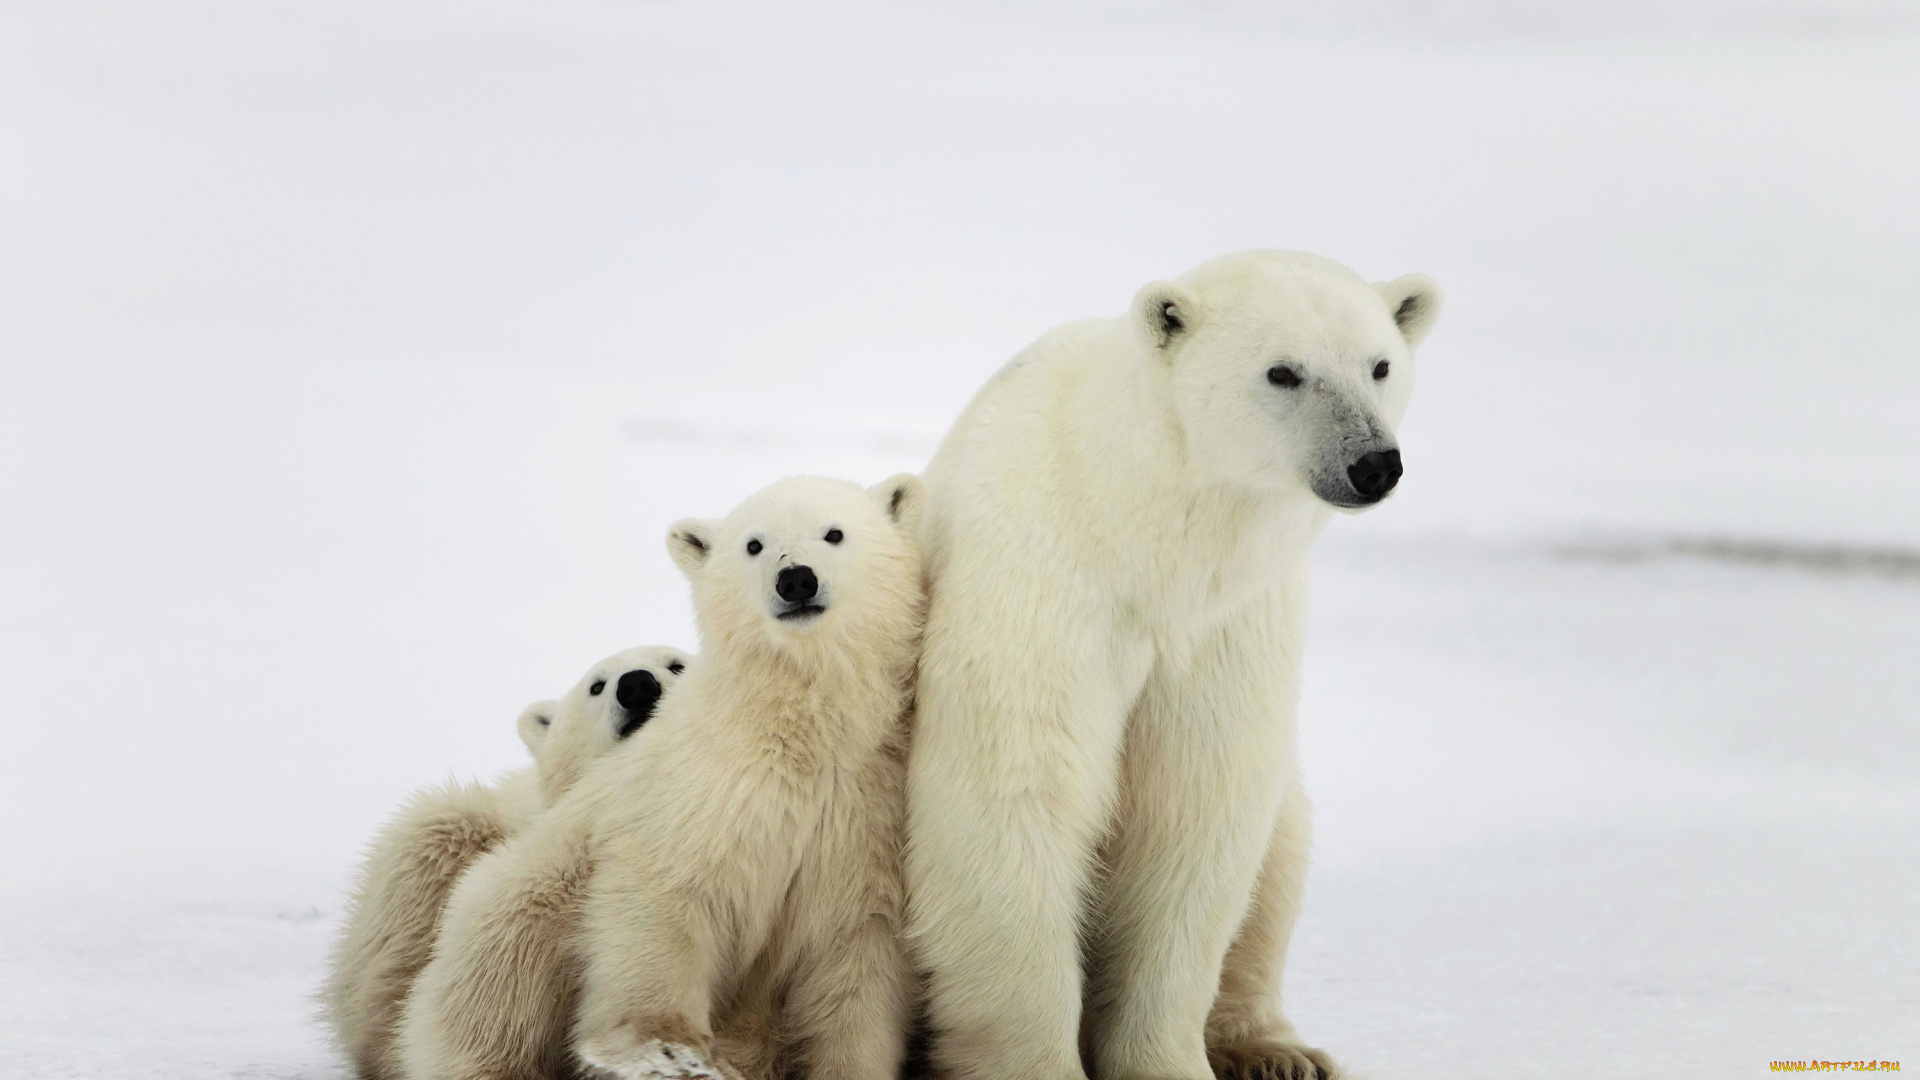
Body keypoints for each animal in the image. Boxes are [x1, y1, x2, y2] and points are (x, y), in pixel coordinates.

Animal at [395, 474, 921, 1076]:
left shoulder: (861, 816)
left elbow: (855, 962)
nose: (796, 580)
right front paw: (669, 1049)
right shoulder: (696, 788)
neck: (799, 733)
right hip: (523, 900)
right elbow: (662, 895)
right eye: (754, 544)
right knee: (500, 990)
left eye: (834, 533)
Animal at [906, 247, 1436, 1076]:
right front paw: (1041, 1063)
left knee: (1281, 853)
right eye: (1283, 372)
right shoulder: (1040, 580)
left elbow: (1195, 807)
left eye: (1380, 364)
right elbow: (1014, 791)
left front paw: (1167, 1062)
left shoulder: (1226, 622)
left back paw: (1279, 1051)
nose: (1373, 464)